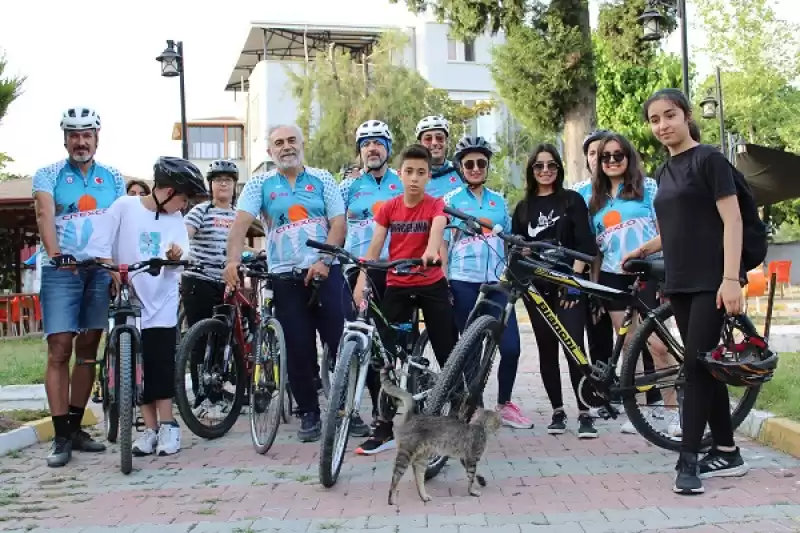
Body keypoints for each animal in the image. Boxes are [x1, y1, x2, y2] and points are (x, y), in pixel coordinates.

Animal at [382, 368, 500, 504]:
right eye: (499, 421)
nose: (500, 424)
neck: (479, 425)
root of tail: (411, 416)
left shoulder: (465, 458)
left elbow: (475, 473)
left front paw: (480, 479)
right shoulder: (471, 458)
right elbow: (471, 477)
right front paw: (472, 491)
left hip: (422, 458)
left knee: (418, 477)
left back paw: (424, 496)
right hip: (405, 454)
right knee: (395, 477)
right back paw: (391, 499)